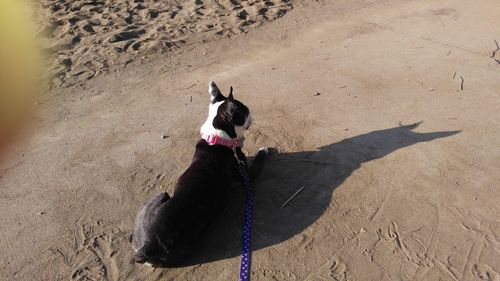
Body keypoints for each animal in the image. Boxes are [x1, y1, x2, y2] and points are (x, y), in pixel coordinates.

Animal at [131, 80, 268, 264]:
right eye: (245, 111)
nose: (251, 113)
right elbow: (258, 160)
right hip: (163, 199)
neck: (218, 139)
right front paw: (264, 150)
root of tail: (147, 246)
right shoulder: (246, 175)